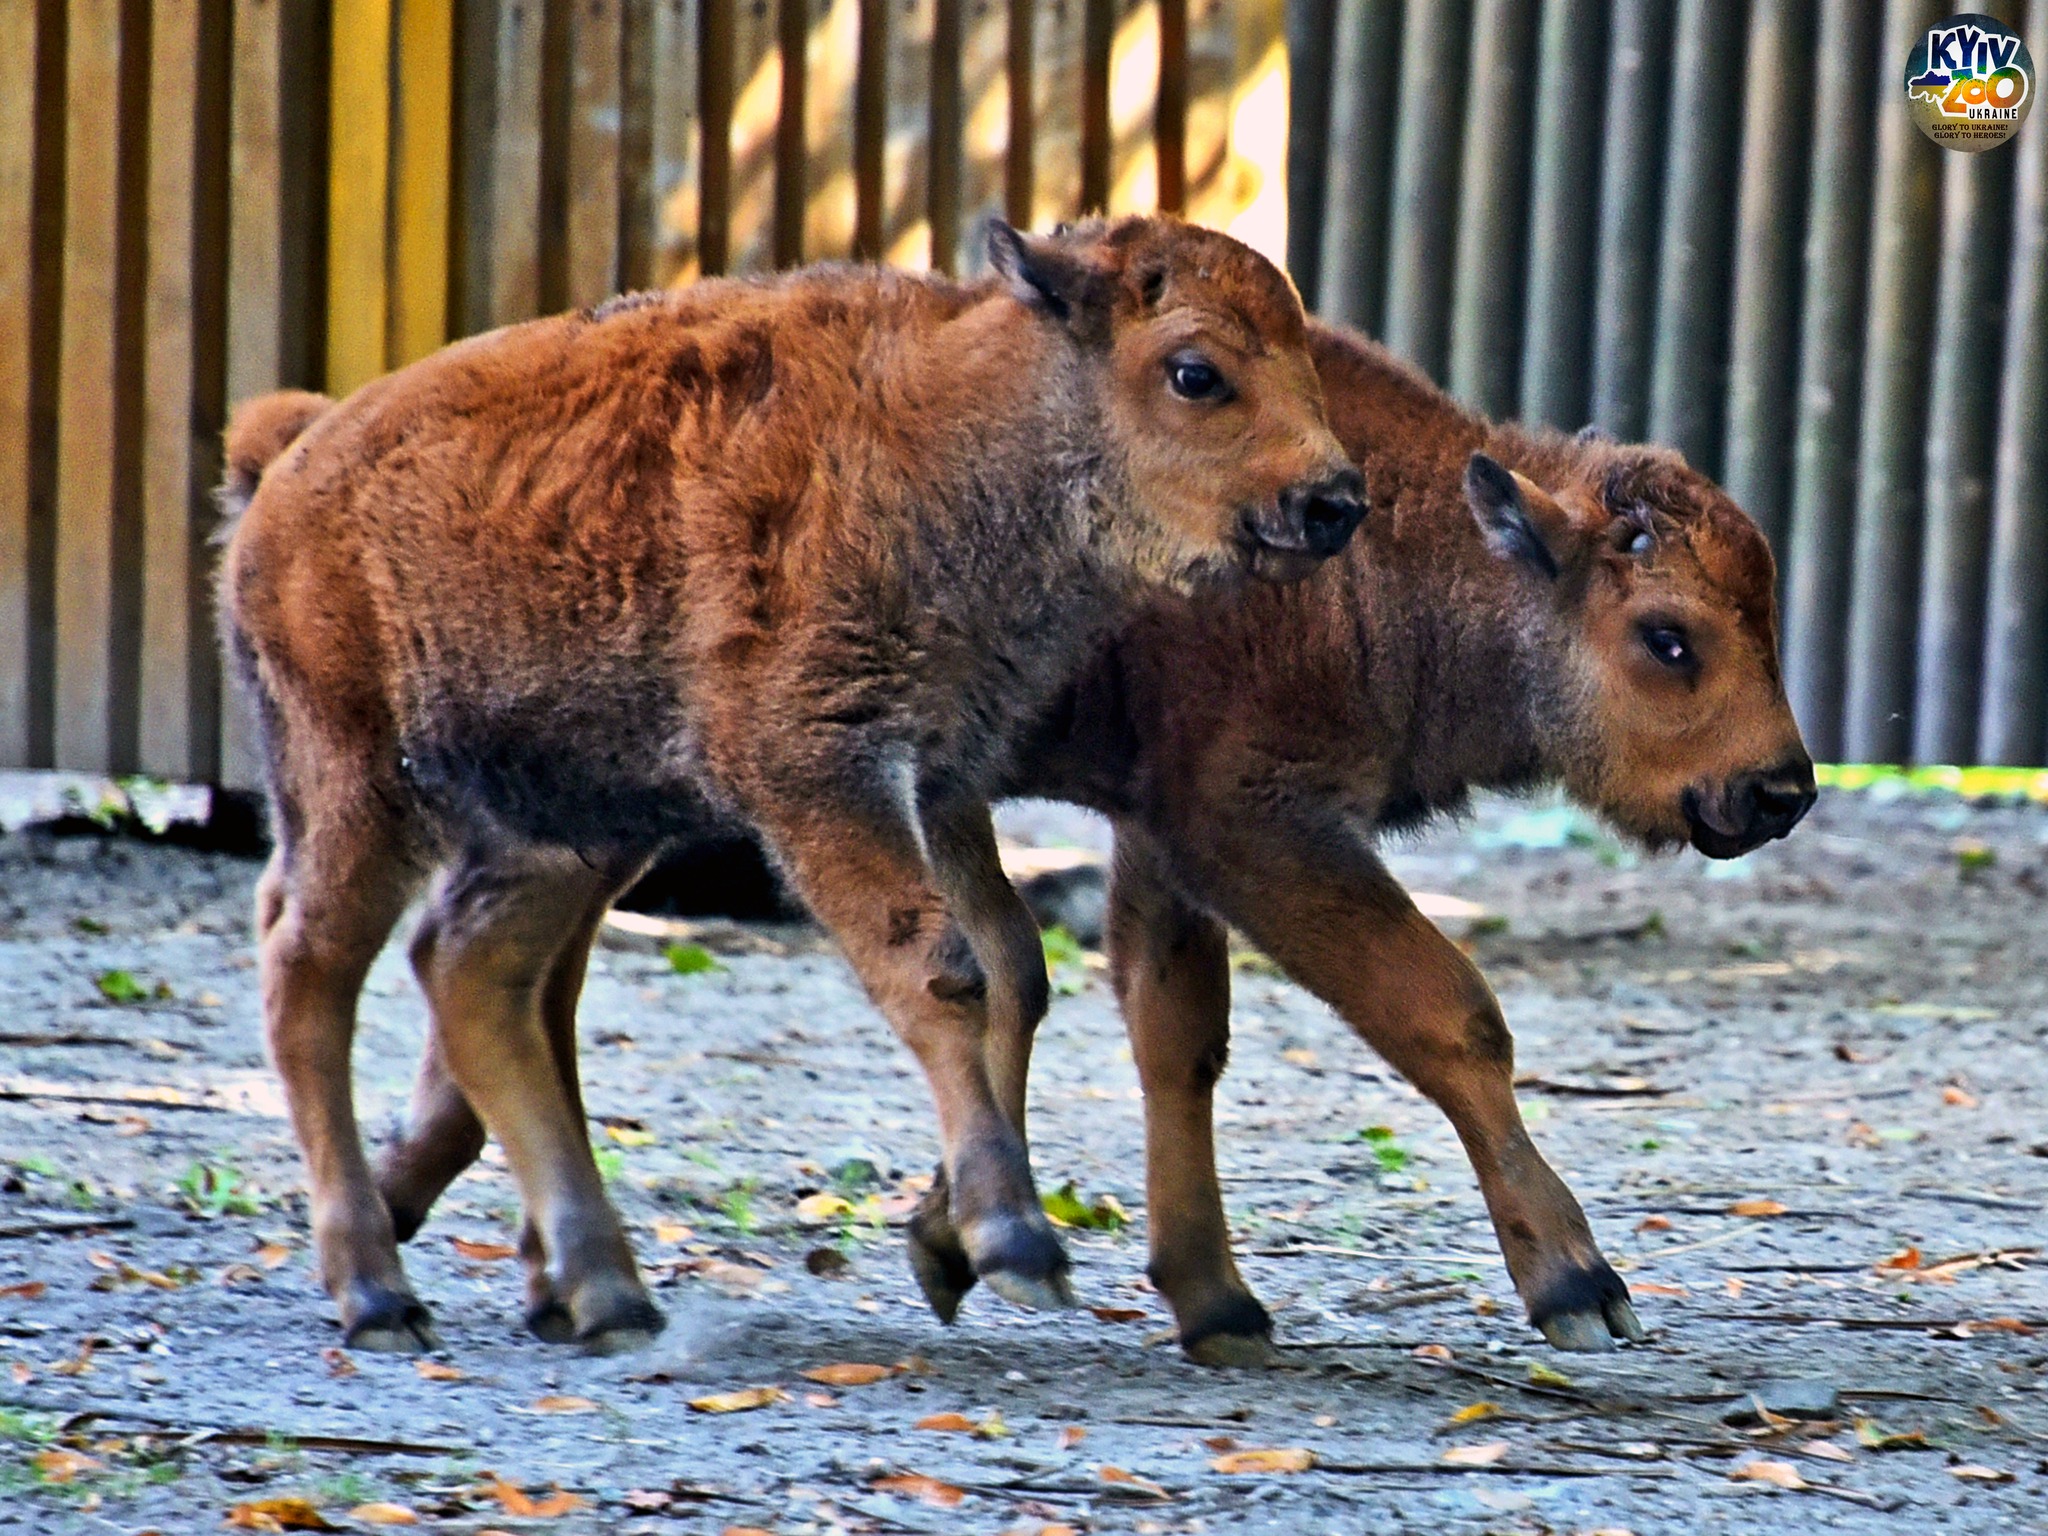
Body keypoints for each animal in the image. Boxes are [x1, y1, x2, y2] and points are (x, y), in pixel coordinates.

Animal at [220, 219, 1359, 1359]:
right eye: (1194, 371)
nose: (1334, 502)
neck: (947, 427)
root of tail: (290, 464)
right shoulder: (819, 773)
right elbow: (940, 972)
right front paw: (1015, 1244)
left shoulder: (937, 775)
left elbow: (1009, 965)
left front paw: (965, 1236)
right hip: (359, 790)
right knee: (307, 974)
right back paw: (379, 1294)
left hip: (566, 823)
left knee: (471, 972)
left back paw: (603, 1291)